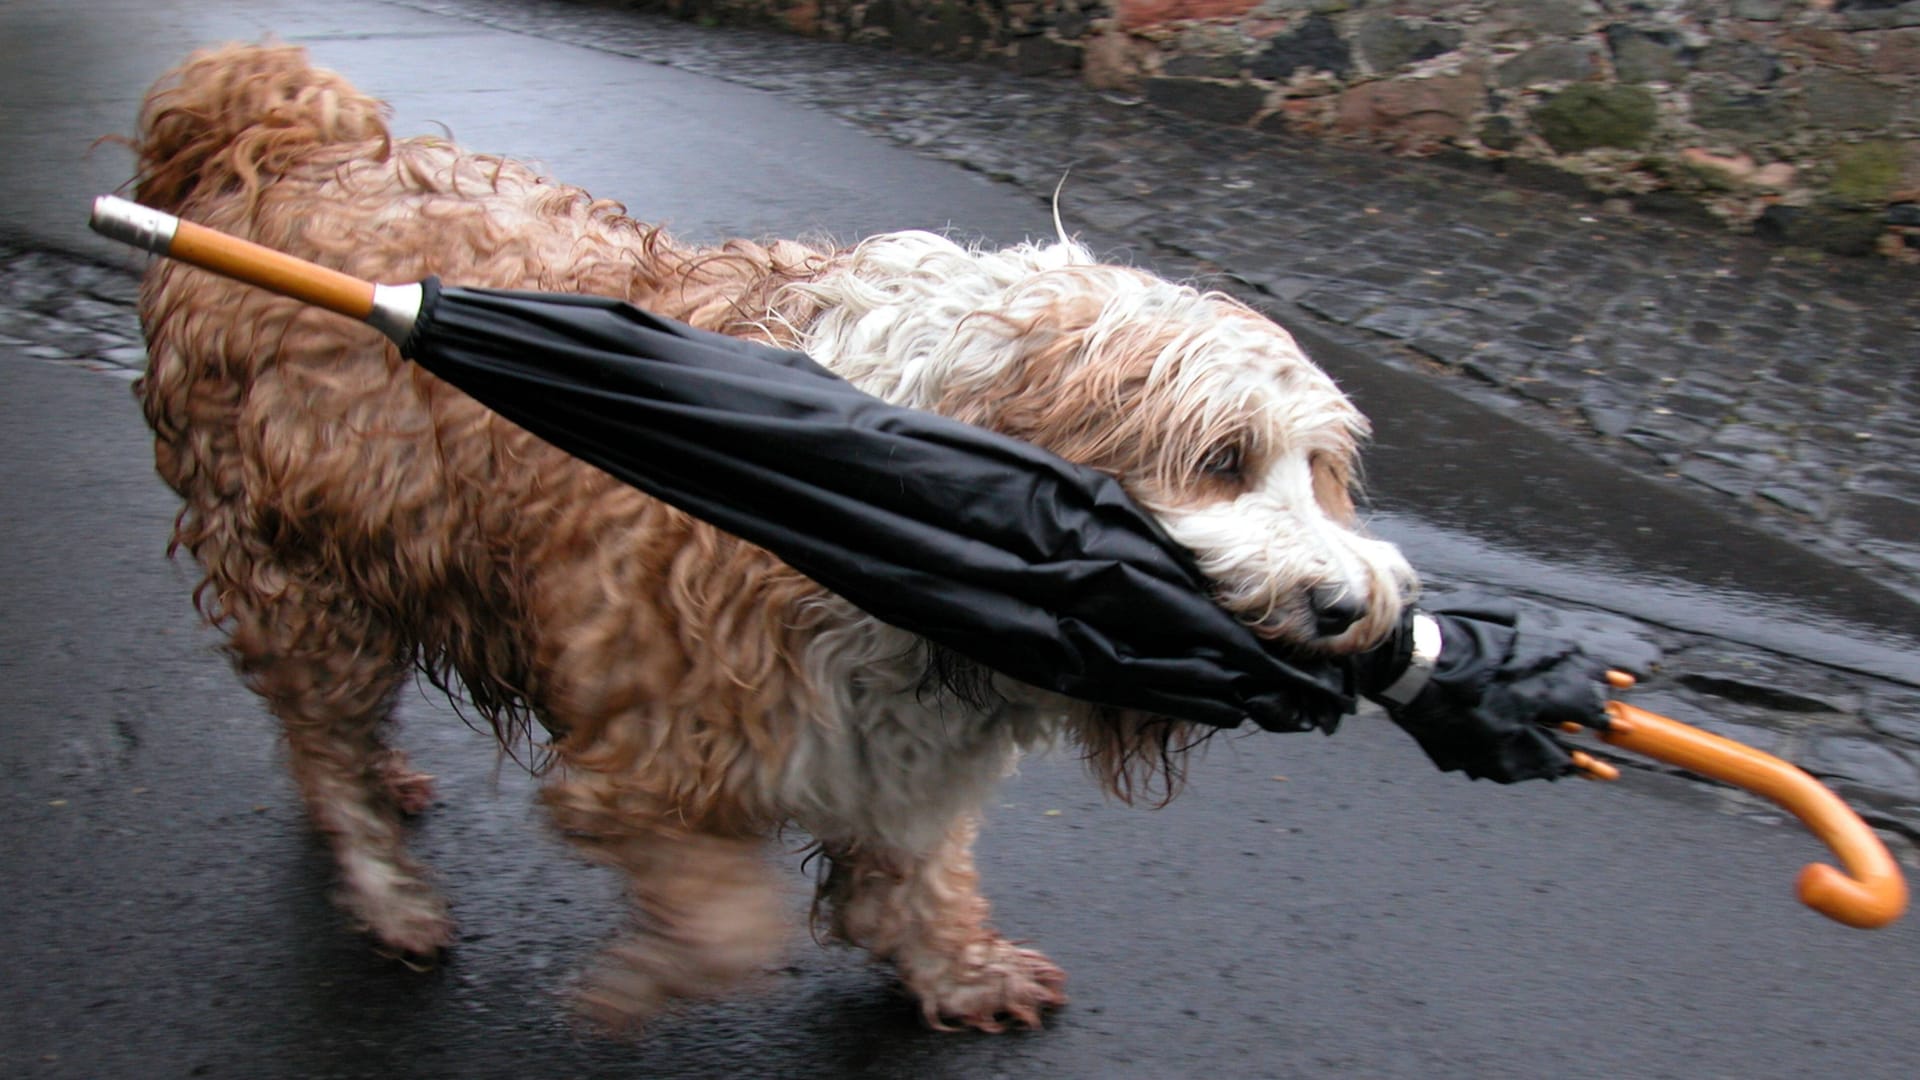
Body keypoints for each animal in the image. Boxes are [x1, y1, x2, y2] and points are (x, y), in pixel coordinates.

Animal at [120, 46, 1413, 1030]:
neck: (910, 484)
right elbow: (728, 922)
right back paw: (388, 888)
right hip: (301, 572)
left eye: (1324, 475)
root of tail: (273, 142)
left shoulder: (899, 747)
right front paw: (639, 984)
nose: (1351, 611)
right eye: (1223, 460)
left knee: (326, 737)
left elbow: (914, 878)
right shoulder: (652, 750)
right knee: (325, 741)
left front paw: (959, 970)